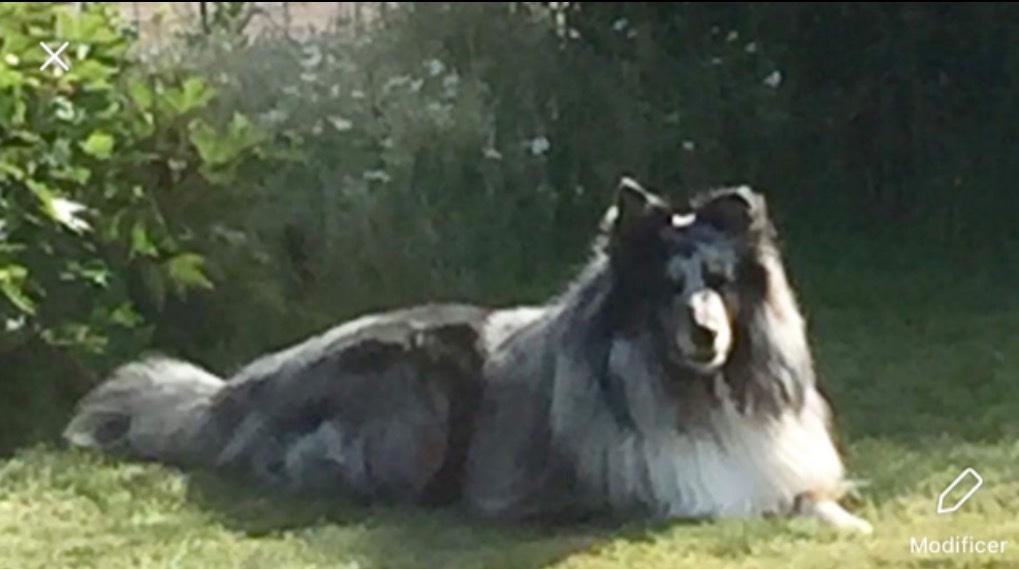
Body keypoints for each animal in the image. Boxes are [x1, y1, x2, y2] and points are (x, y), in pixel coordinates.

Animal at [63, 179, 872, 534]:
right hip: (418, 394)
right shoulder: (671, 489)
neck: (693, 388)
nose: (705, 336)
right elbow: (771, 504)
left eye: (720, 282)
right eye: (665, 287)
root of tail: (244, 386)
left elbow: (810, 491)